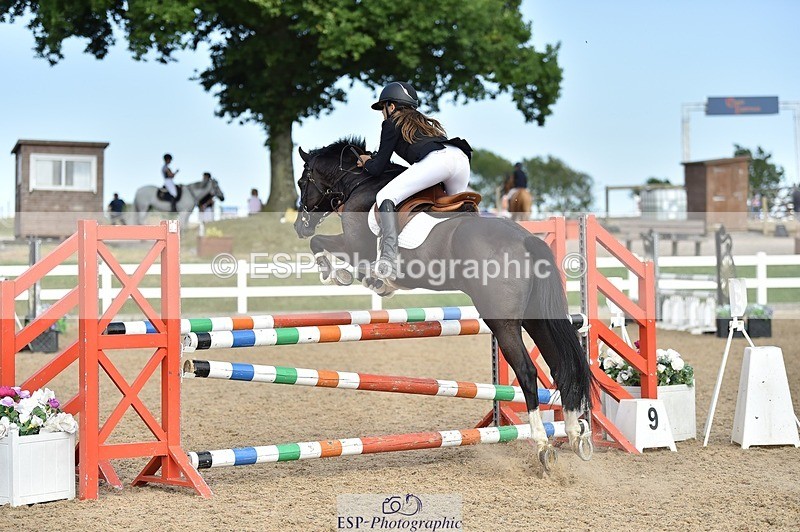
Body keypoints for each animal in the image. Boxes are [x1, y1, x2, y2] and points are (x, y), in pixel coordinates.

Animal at [293, 137, 593, 468]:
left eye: (302, 182)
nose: (300, 227)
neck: (359, 182)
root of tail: (525, 239)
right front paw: (369, 279)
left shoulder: (354, 245)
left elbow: (323, 245)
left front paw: (343, 274)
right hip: (534, 317)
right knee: (559, 366)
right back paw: (575, 434)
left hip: (502, 322)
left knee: (528, 372)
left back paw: (542, 443)